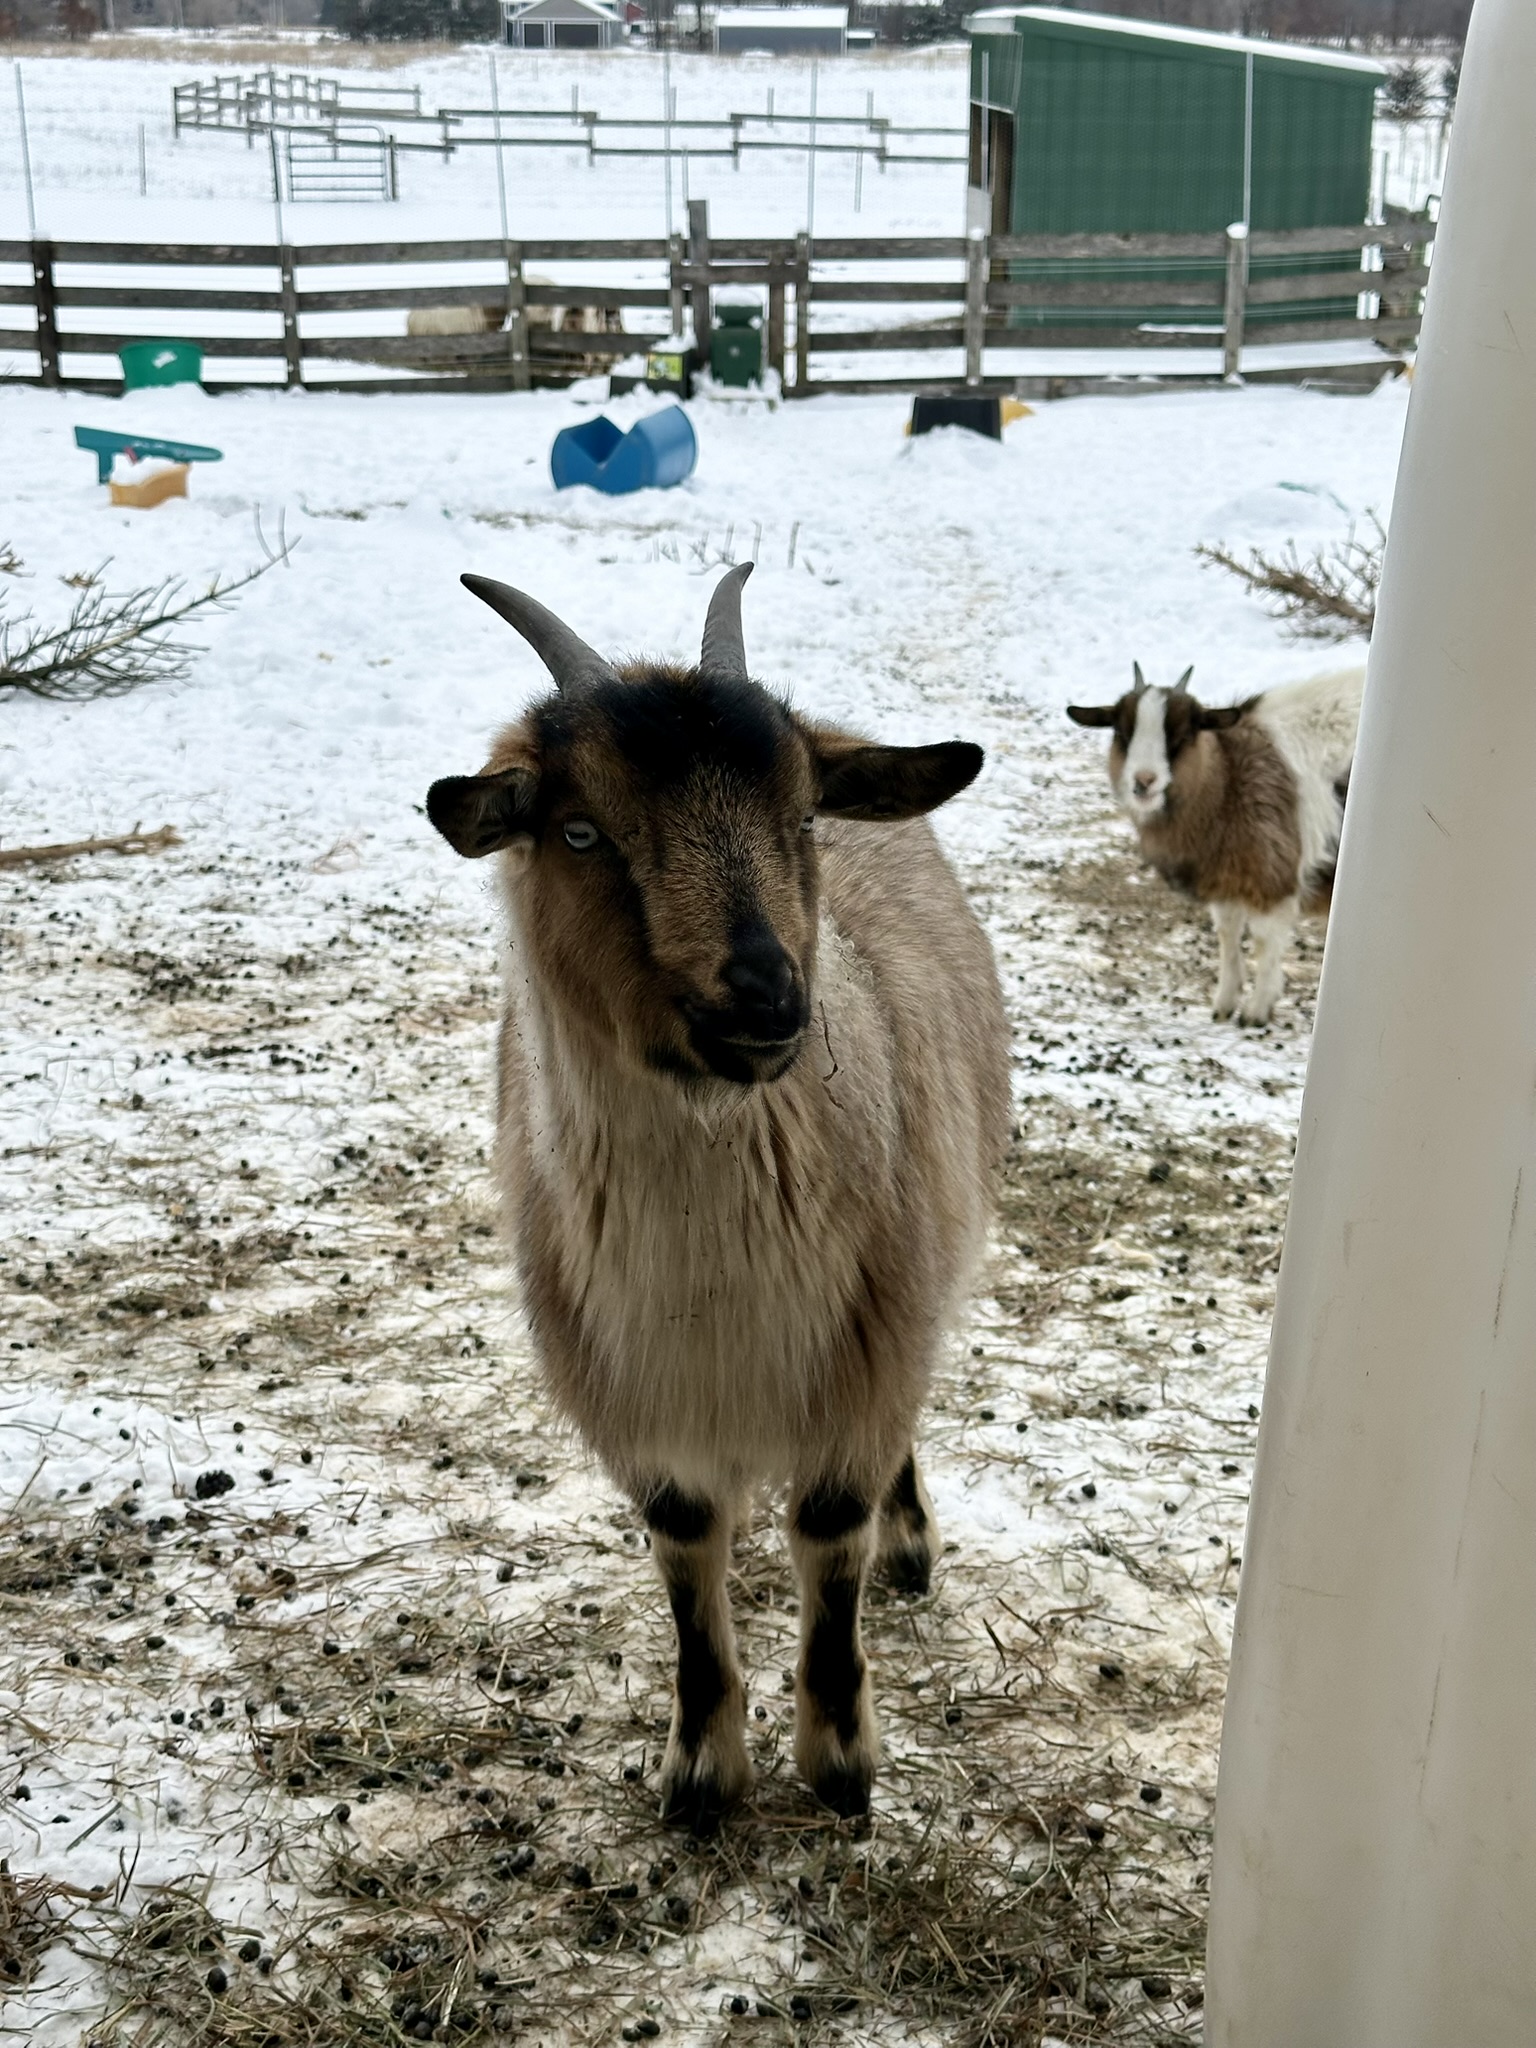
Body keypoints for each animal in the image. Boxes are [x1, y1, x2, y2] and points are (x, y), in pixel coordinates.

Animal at [426, 566, 1009, 1827]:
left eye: (803, 817)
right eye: (580, 828)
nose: (766, 997)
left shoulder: (861, 1353)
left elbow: (830, 1541)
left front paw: (839, 1766)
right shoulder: (641, 1397)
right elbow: (688, 1558)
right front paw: (700, 1773)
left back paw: (911, 1546)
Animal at [1067, 664, 1363, 1025]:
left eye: (1183, 736)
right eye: (1122, 734)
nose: (1144, 781)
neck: (1231, 779)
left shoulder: (1272, 881)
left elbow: (1264, 943)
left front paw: (1256, 1010)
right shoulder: (1227, 880)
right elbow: (1227, 933)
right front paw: (1225, 1001)